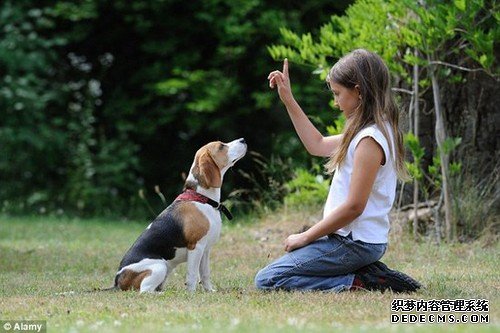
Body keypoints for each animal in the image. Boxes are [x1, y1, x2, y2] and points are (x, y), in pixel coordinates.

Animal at [113, 137, 246, 290]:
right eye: (221, 146)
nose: (243, 139)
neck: (202, 198)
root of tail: (117, 280)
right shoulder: (196, 247)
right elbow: (192, 275)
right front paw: (192, 293)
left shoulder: (206, 249)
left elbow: (205, 274)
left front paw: (209, 291)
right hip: (160, 266)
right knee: (145, 290)